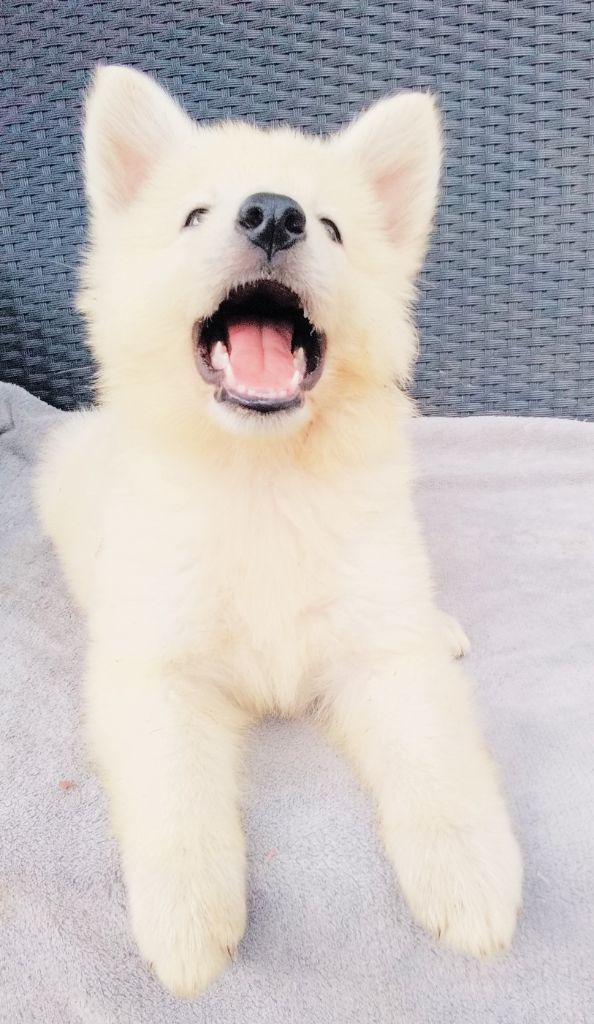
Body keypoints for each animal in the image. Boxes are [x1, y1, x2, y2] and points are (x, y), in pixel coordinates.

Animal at [36, 66, 522, 998]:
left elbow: (438, 760)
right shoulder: (157, 668)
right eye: (194, 215)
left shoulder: (382, 651)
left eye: (330, 226)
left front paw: (471, 880)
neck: (261, 477)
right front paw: (189, 924)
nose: (273, 214)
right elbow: (176, 794)